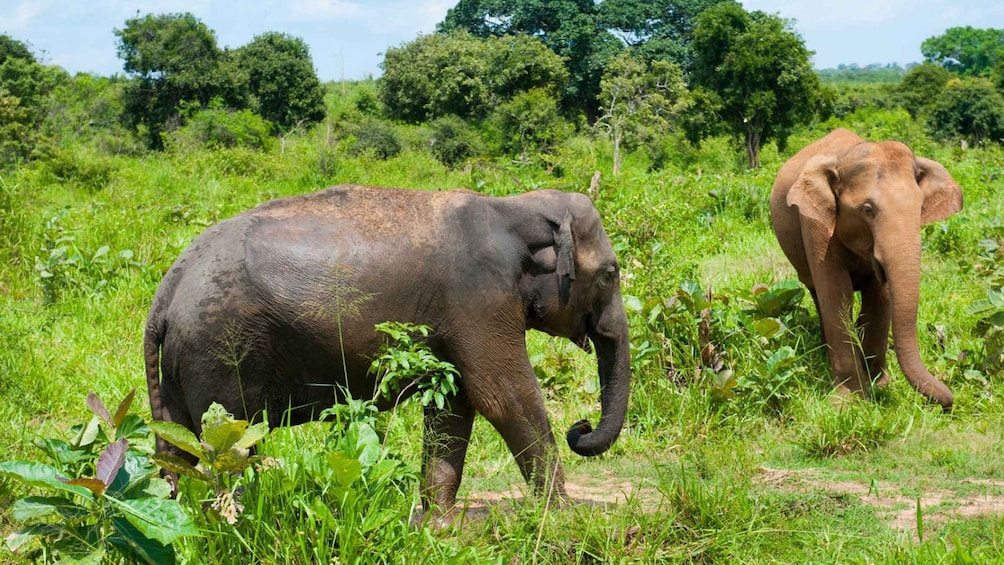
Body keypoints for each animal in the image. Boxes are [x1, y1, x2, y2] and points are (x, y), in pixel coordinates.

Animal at [143, 184, 626, 525]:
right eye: (609, 274)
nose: (580, 427)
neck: (512, 207)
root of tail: (168, 287)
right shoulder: (479, 296)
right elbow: (503, 397)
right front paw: (563, 517)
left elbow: (455, 404)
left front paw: (439, 526)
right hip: (222, 353)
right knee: (230, 447)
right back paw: (232, 521)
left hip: (184, 364)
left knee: (176, 444)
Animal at [767, 129, 963, 407]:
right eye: (867, 210)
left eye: (920, 207)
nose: (948, 403)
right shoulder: (815, 223)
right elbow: (837, 293)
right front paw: (849, 401)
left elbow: (880, 296)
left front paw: (879, 386)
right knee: (816, 292)